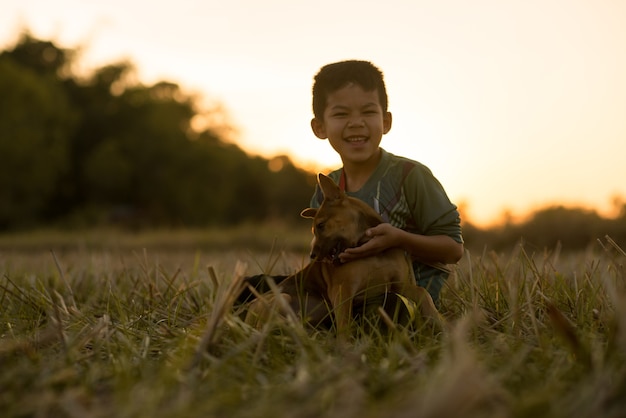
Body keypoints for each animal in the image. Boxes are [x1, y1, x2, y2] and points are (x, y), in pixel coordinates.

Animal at [241, 173, 442, 336]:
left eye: (321, 225)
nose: (312, 256)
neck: (370, 250)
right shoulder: (342, 291)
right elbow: (345, 326)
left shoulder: (398, 285)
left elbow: (423, 293)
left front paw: (438, 320)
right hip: (282, 298)